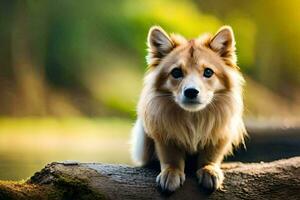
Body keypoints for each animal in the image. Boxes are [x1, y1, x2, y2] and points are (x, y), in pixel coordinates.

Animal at [131, 25, 246, 192]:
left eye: (208, 72)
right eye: (176, 72)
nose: (191, 91)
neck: (193, 117)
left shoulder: (220, 133)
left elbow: (211, 155)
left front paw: (209, 169)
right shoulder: (163, 133)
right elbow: (170, 155)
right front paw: (171, 172)